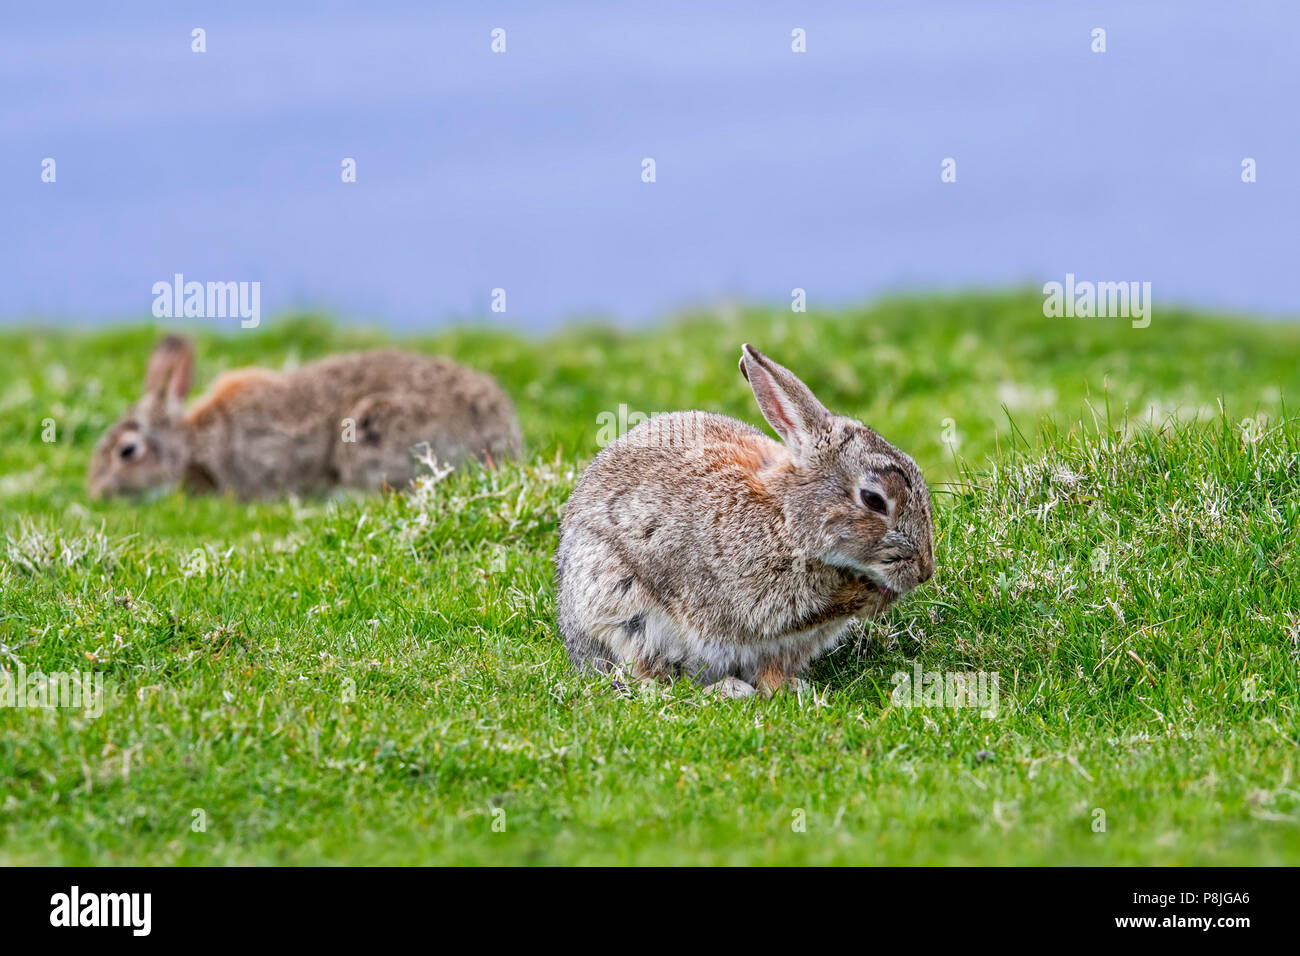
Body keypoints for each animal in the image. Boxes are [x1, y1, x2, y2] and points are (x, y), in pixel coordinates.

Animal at [555, 344, 934, 699]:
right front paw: (866, 593)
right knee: (651, 674)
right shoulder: (756, 602)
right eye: (874, 500)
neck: (786, 518)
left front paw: (790, 688)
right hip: (619, 612)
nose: (924, 572)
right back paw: (723, 690)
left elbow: (773, 671)